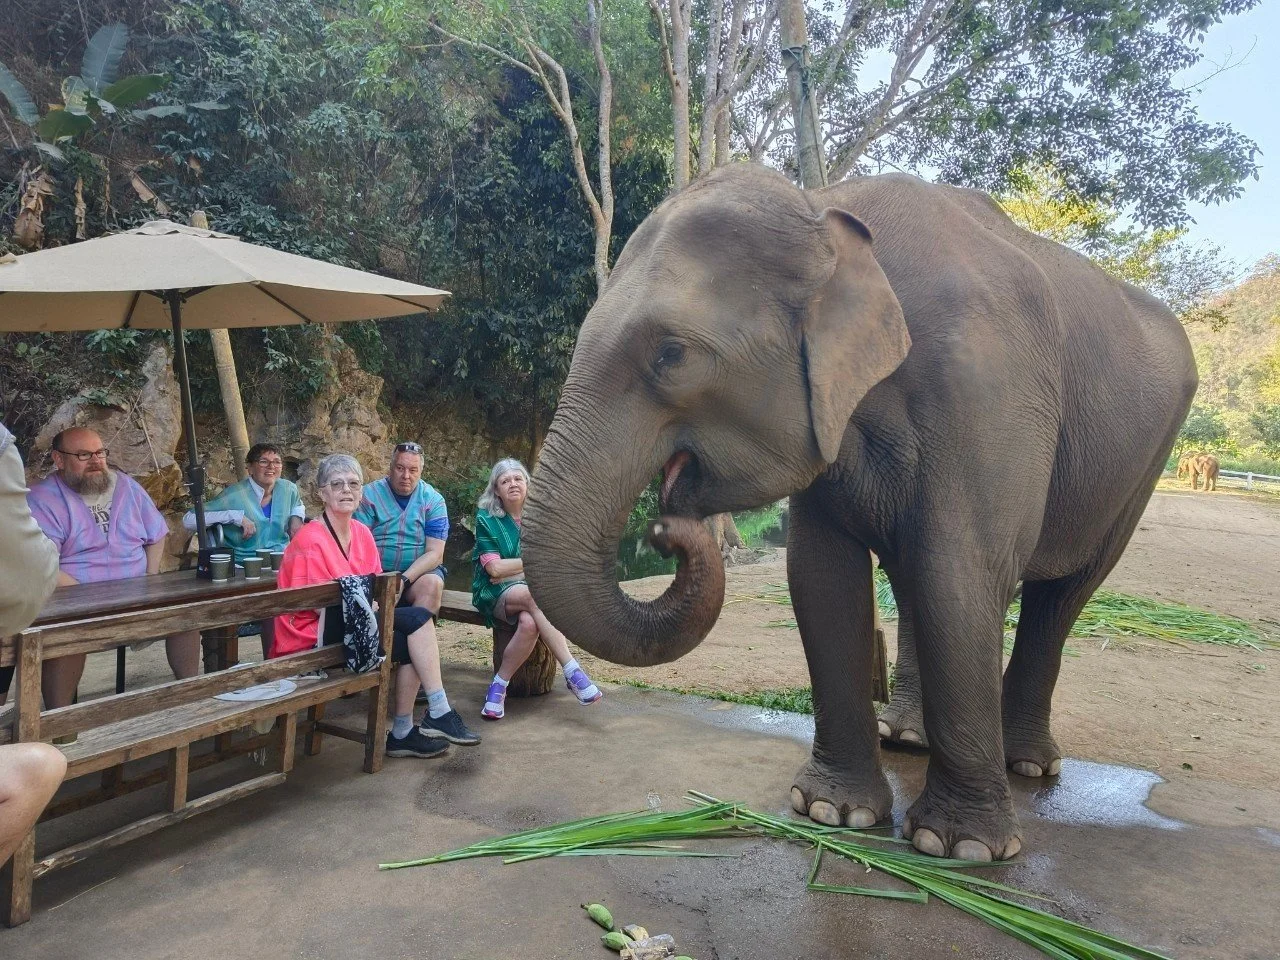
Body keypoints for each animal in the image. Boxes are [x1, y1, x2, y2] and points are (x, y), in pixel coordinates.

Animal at [522, 163, 1196, 862]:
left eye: (671, 354)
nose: (664, 525)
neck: (825, 210)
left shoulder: (987, 390)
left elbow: (963, 575)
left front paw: (959, 848)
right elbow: (822, 578)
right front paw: (833, 813)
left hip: (1144, 463)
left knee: (1060, 594)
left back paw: (1028, 765)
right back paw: (907, 737)